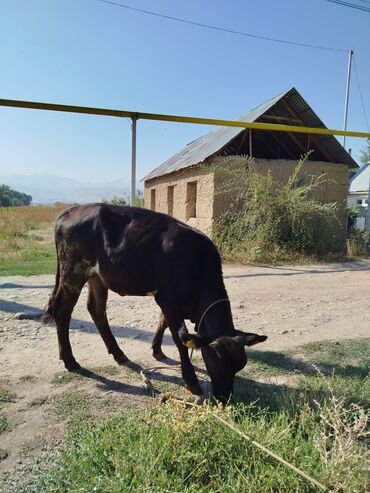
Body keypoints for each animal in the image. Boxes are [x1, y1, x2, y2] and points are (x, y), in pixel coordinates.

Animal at [43, 203, 268, 400]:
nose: (224, 397)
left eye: (239, 366)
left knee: (96, 310)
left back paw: (119, 354)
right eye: (217, 362)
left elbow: (163, 323)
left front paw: (157, 351)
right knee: (63, 310)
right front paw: (191, 381)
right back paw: (70, 361)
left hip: (97, 277)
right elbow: (178, 338)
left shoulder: (169, 299)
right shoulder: (168, 298)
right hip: (73, 271)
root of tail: (73, 208)